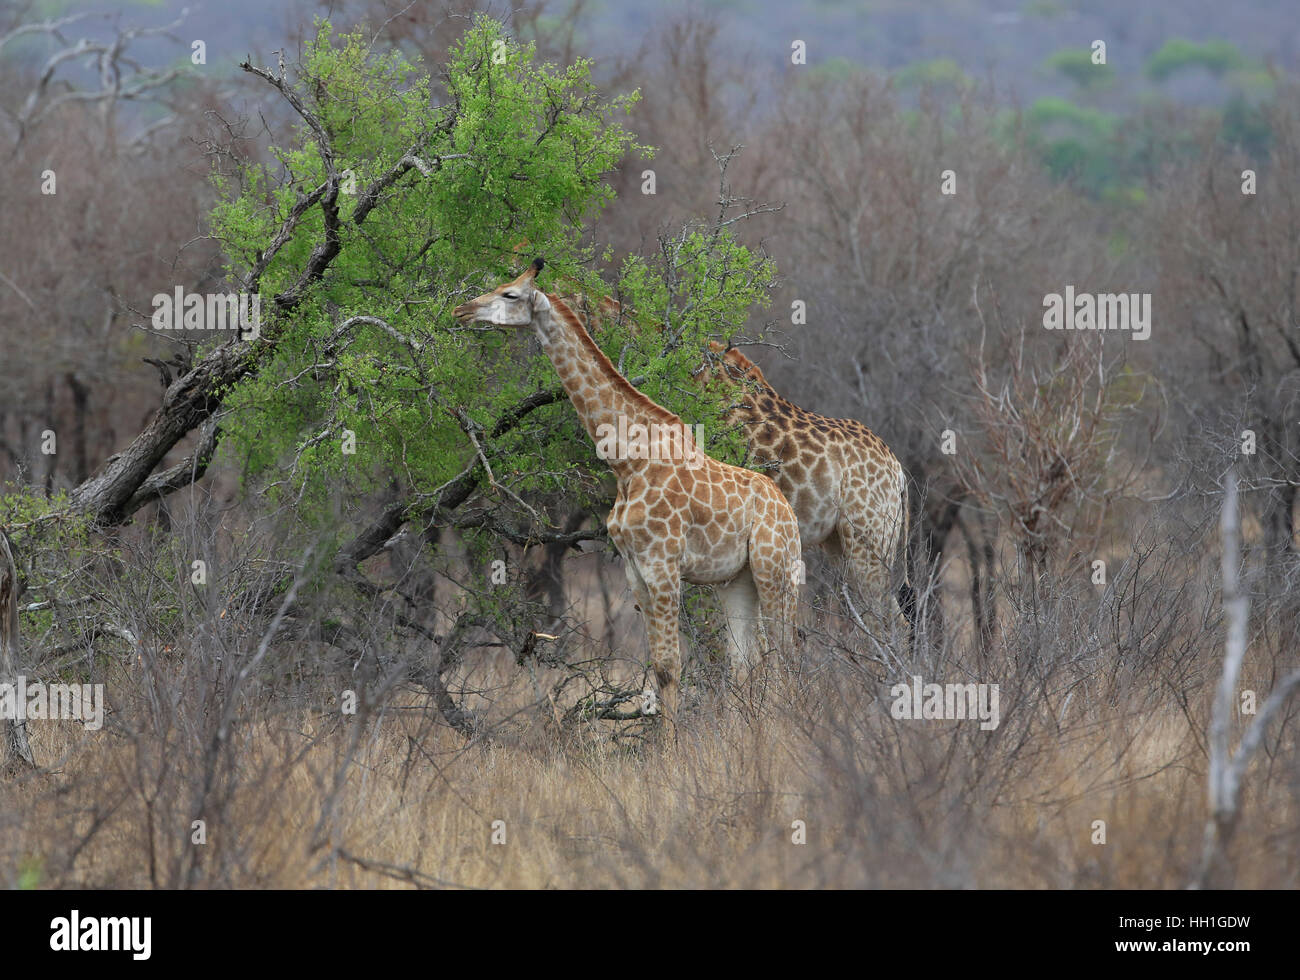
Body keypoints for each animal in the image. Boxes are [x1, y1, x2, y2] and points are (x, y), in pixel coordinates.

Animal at [453, 260, 802, 726]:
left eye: (511, 294)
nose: (461, 310)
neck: (626, 460)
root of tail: (789, 513)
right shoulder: (635, 570)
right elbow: (659, 668)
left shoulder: (663, 564)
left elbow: (671, 668)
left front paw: (674, 747)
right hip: (736, 580)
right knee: (747, 661)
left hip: (774, 568)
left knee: (785, 655)